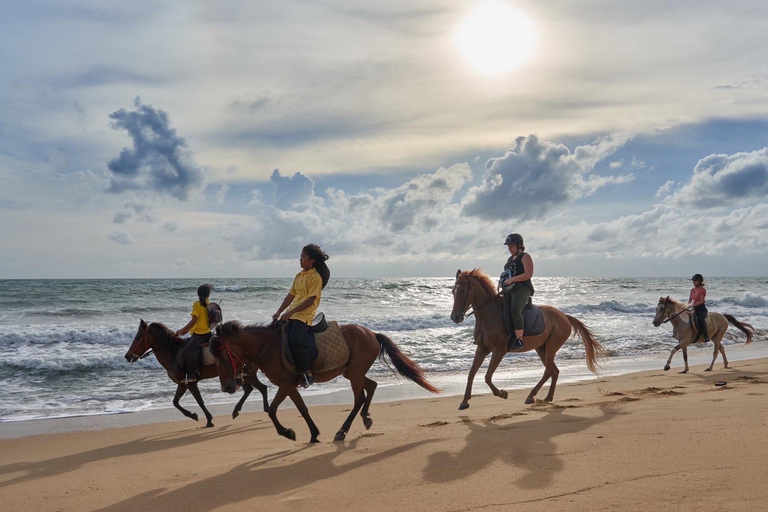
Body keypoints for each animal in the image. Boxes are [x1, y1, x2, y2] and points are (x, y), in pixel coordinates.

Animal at [124, 320, 272, 428]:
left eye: (138, 337)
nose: (127, 356)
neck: (173, 353)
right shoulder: (182, 384)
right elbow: (175, 402)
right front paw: (193, 415)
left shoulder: (190, 382)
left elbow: (199, 401)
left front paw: (208, 420)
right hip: (240, 375)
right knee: (251, 389)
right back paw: (238, 411)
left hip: (247, 374)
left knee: (261, 388)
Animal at [210, 322, 438, 442]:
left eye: (222, 357)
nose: (227, 387)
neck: (268, 347)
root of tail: (372, 333)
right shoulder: (290, 385)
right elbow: (302, 409)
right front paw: (313, 434)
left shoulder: (286, 383)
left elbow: (272, 410)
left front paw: (287, 432)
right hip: (351, 372)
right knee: (371, 387)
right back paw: (366, 418)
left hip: (355, 373)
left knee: (359, 398)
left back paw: (342, 431)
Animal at [450, 268, 608, 408]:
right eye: (453, 292)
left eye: (463, 291)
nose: (455, 317)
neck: (489, 315)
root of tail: (564, 316)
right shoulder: (482, 349)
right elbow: (471, 373)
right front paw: (464, 401)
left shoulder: (499, 350)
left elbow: (487, 377)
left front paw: (502, 393)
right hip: (541, 348)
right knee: (554, 371)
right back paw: (547, 397)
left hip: (551, 346)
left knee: (548, 371)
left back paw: (531, 396)